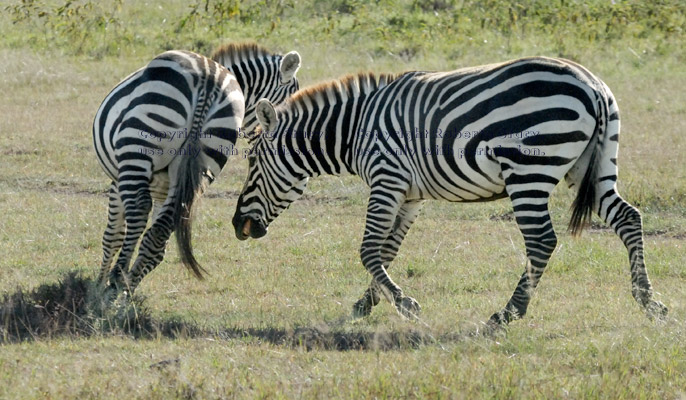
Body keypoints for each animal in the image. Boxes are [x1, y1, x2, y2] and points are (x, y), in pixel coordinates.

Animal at [92, 42, 302, 296]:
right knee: (159, 231)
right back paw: (124, 290)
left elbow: (112, 236)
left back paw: (115, 281)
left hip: (139, 146)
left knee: (139, 209)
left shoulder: (117, 181)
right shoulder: (163, 188)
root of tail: (209, 80)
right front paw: (122, 285)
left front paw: (99, 284)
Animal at [234, 57, 668, 328]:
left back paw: (507, 314)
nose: (238, 226)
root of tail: (593, 86)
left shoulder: (386, 177)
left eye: (252, 162)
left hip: (528, 171)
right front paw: (368, 303)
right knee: (628, 218)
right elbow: (387, 250)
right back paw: (648, 301)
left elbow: (369, 250)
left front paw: (403, 304)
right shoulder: (408, 194)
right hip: (592, 166)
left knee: (542, 240)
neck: (355, 130)